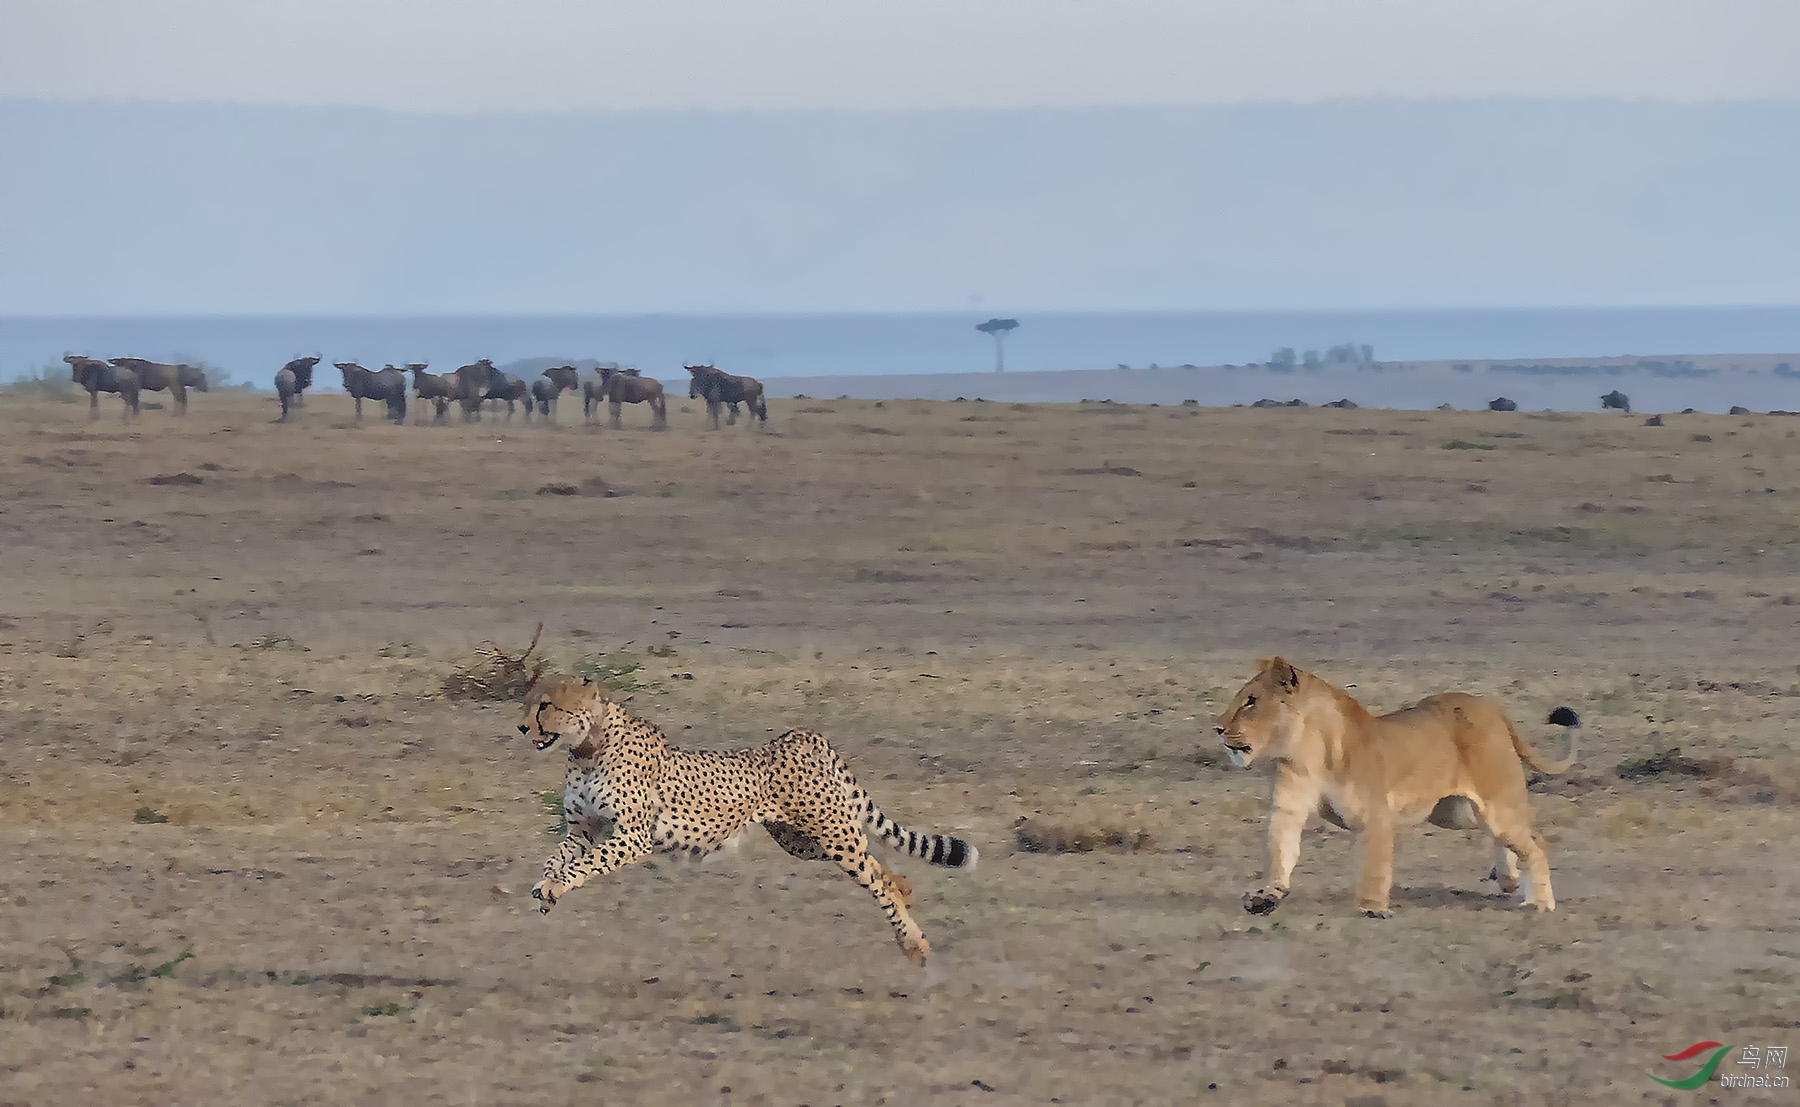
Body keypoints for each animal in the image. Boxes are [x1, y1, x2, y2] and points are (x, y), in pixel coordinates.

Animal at [514, 669, 979, 964]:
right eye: (528, 703)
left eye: (546, 706)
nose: (521, 728)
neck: (587, 748)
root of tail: (801, 735)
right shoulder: (582, 829)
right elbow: (558, 857)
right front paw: (545, 886)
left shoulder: (632, 835)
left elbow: (586, 864)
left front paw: (554, 887)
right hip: (803, 841)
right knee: (879, 869)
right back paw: (905, 894)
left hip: (832, 834)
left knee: (873, 876)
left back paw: (914, 943)